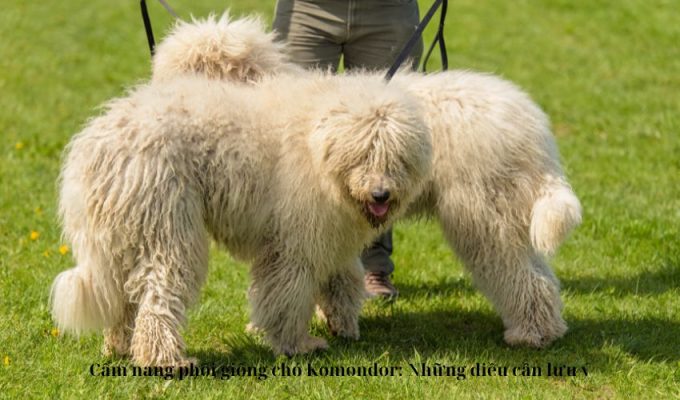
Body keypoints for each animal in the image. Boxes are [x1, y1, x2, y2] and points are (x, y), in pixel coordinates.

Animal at [50, 63, 432, 366]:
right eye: (364, 153)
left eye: (397, 158)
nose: (381, 194)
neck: (318, 145)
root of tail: (96, 146)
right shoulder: (294, 242)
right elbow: (288, 296)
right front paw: (296, 344)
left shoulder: (330, 234)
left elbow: (344, 279)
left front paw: (343, 324)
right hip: (167, 230)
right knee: (158, 298)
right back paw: (165, 360)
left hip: (124, 237)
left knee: (126, 301)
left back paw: (120, 347)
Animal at [155, 14, 584, 346]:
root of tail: (532, 124)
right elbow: (332, 272)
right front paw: (331, 321)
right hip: (510, 212)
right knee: (537, 272)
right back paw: (548, 327)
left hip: (485, 213)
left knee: (519, 274)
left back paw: (530, 334)